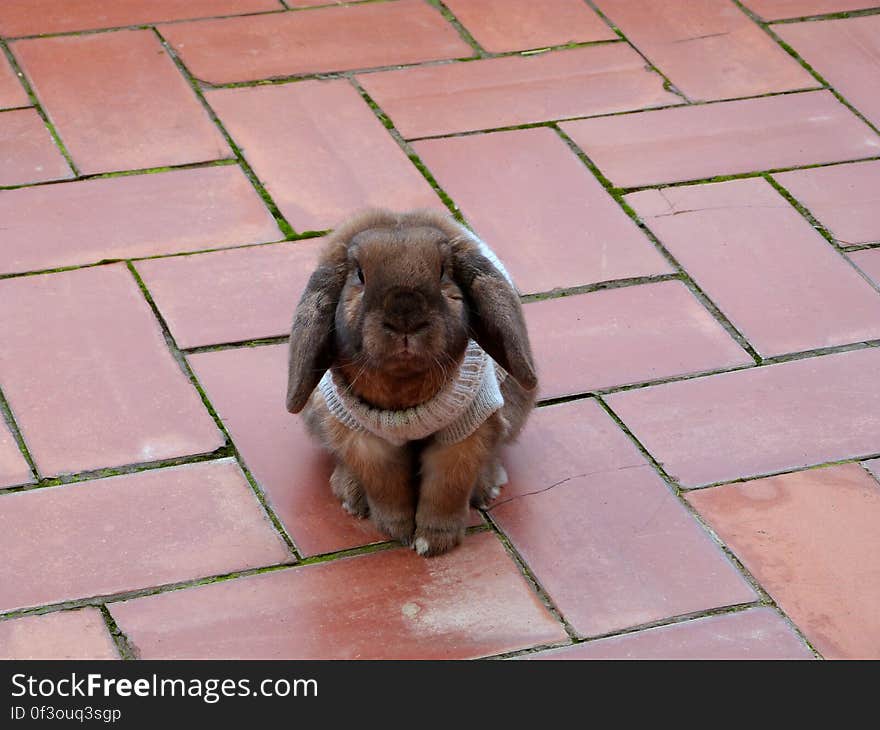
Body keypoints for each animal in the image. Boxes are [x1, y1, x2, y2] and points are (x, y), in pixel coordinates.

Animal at [288, 208, 536, 556]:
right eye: (360, 276)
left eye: (443, 272)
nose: (405, 316)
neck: (403, 386)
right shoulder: (365, 439)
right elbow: (385, 487)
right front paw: (399, 531)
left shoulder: (465, 430)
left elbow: (447, 488)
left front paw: (433, 543)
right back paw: (351, 495)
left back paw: (487, 488)